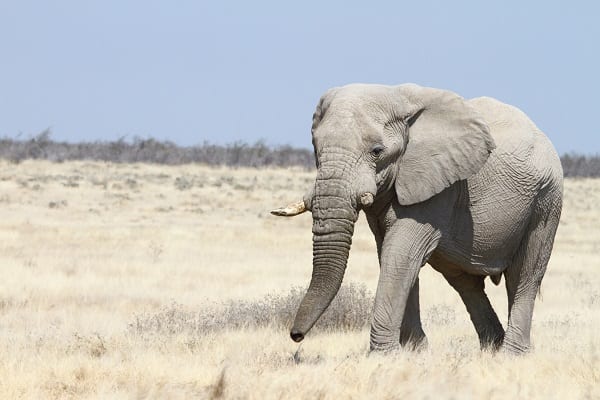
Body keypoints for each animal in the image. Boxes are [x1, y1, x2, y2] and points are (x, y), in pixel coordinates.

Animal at [272, 83, 564, 354]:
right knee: (465, 282)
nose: (296, 336)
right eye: (315, 149)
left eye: (377, 151)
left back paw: (511, 354)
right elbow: (391, 254)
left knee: (524, 275)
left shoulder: (439, 184)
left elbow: (401, 253)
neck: (399, 99)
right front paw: (415, 353)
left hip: (546, 201)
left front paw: (384, 356)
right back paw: (491, 349)